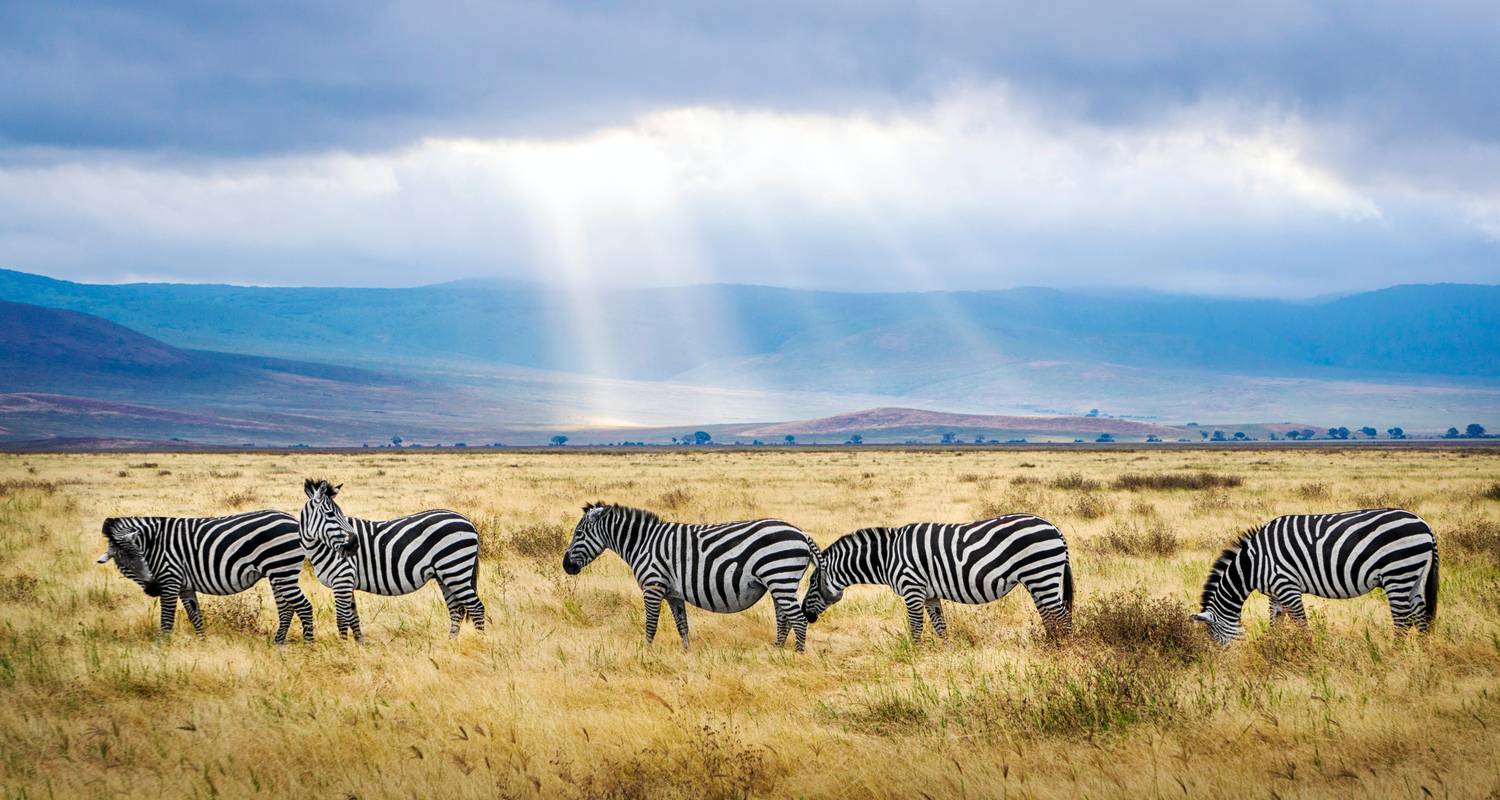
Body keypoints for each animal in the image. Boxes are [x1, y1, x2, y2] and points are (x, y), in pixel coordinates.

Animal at [94, 507, 316, 645]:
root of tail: (293, 520)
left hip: (282, 569)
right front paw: (203, 643)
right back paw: (279, 642)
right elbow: (195, 616)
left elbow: (166, 620)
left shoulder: (170, 579)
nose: (153, 588)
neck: (154, 543)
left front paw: (162, 649)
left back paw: (308, 646)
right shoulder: (184, 586)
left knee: (304, 606)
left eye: (141, 557)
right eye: (124, 565)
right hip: (278, 573)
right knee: (286, 608)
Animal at [301, 477, 489, 639]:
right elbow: (353, 619)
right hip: (446, 575)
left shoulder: (342, 579)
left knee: (476, 608)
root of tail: (469, 521)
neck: (322, 547)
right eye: (330, 514)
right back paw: (451, 643)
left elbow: (341, 620)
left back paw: (480, 642)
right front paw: (360, 646)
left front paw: (344, 649)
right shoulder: (347, 582)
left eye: (339, 514)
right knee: (457, 610)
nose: (354, 545)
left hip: (456, 570)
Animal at [564, 501, 822, 651]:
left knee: (798, 619)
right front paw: (686, 654)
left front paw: (646, 653)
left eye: (578, 534)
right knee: (784, 618)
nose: (566, 566)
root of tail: (801, 533)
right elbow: (682, 625)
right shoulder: (673, 593)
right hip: (779, 582)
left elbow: (651, 624)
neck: (642, 543)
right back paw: (776, 651)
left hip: (780, 576)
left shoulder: (653, 586)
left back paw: (797, 656)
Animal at [804, 510, 1074, 642]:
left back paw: (1065, 650)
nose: (806, 614)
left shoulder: (912, 589)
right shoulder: (929, 594)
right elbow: (940, 626)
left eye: (812, 582)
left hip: (1041, 573)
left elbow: (916, 627)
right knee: (1049, 615)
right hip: (1037, 579)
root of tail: (1054, 527)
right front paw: (947, 654)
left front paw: (914, 656)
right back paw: (1051, 646)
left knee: (1062, 615)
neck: (886, 557)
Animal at [1194, 507, 1440, 645]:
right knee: (1420, 616)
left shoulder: (1287, 586)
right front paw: (1273, 648)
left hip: (1397, 573)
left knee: (1402, 621)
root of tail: (1424, 524)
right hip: (1414, 575)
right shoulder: (1275, 593)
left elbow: (1301, 624)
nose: (1223, 663)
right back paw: (1423, 655)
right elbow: (1276, 623)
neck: (1253, 564)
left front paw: (1308, 653)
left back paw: (1392, 656)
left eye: (1215, 637)